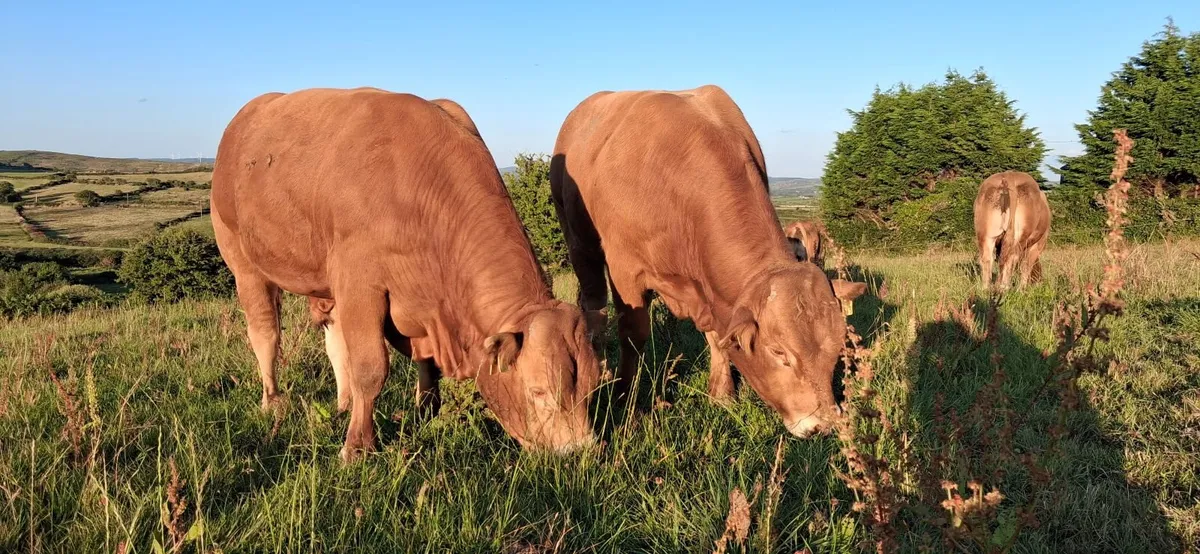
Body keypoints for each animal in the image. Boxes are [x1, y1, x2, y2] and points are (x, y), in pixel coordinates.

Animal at [211, 87, 599, 462]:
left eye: (593, 387)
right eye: (539, 391)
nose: (578, 452)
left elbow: (424, 363)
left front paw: (427, 412)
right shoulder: (360, 283)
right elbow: (370, 368)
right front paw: (357, 447)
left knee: (333, 337)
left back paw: (344, 403)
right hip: (241, 258)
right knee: (265, 333)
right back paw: (272, 403)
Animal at [550, 85, 866, 438]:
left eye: (837, 347)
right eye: (778, 351)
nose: (820, 426)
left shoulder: (711, 288)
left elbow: (718, 335)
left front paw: (723, 393)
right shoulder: (625, 270)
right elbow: (633, 334)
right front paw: (625, 400)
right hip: (579, 240)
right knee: (594, 304)